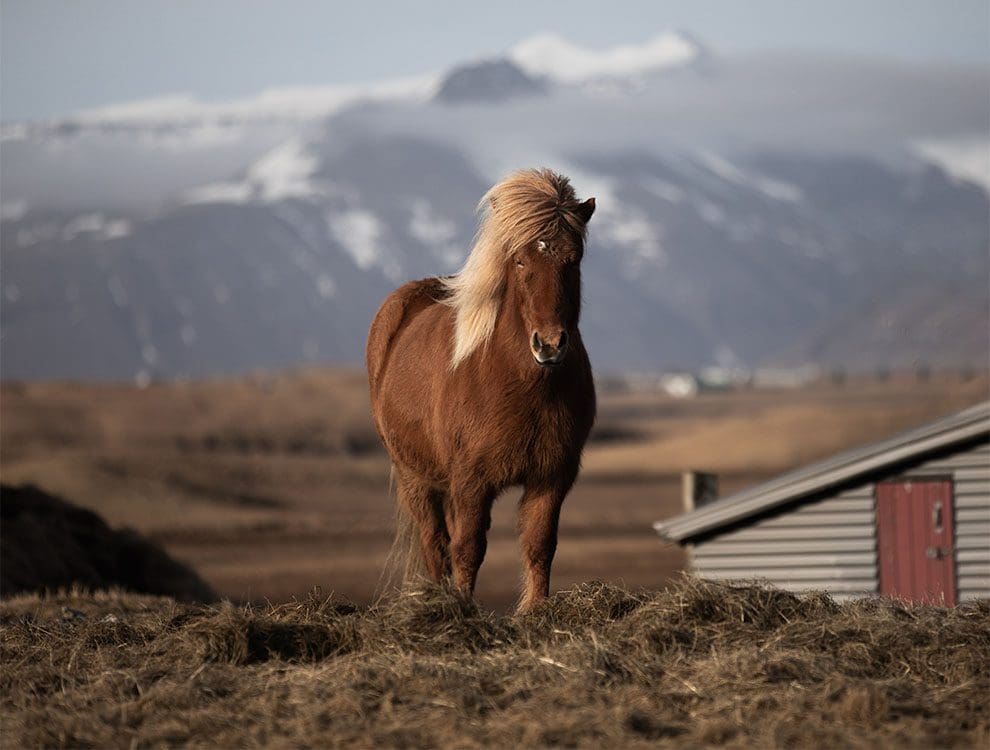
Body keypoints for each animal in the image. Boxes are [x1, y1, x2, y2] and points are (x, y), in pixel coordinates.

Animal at [366, 167, 592, 612]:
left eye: (573, 259)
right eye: (520, 259)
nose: (549, 345)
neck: (523, 385)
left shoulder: (552, 476)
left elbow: (540, 544)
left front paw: (534, 610)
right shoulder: (472, 481)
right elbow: (468, 548)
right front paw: (462, 610)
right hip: (416, 477)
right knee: (435, 542)